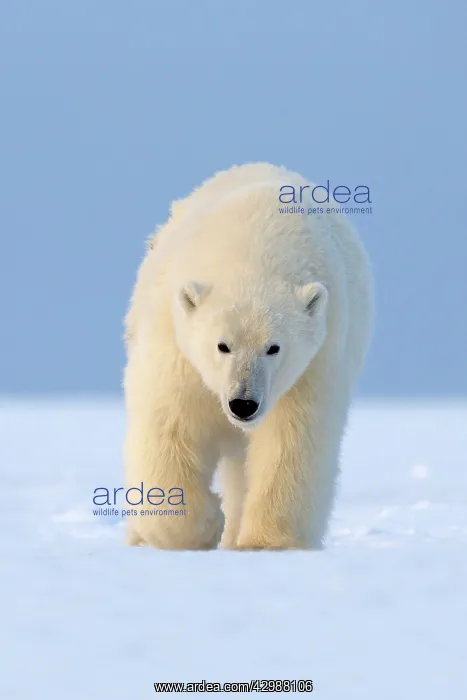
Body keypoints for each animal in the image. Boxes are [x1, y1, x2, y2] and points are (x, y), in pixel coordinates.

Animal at [123, 163, 373, 551]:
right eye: (222, 345)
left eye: (274, 347)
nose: (243, 404)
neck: (255, 250)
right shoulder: (176, 347)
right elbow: (171, 426)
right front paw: (204, 524)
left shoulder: (315, 362)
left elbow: (292, 440)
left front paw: (266, 542)